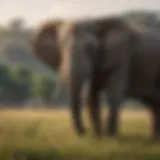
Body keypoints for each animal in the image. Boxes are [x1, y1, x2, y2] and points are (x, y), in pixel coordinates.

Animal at [31, 16, 160, 138]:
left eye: (91, 48)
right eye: (61, 46)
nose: (85, 131)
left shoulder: (122, 58)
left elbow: (113, 93)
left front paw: (111, 136)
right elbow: (92, 96)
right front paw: (97, 137)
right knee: (154, 104)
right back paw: (153, 138)